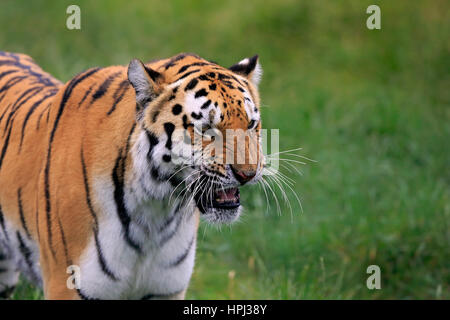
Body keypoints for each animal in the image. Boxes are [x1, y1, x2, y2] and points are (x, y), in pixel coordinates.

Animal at [0, 50, 264, 300]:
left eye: (251, 124)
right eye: (207, 129)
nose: (248, 174)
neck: (157, 211)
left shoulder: (167, 290)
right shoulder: (67, 287)